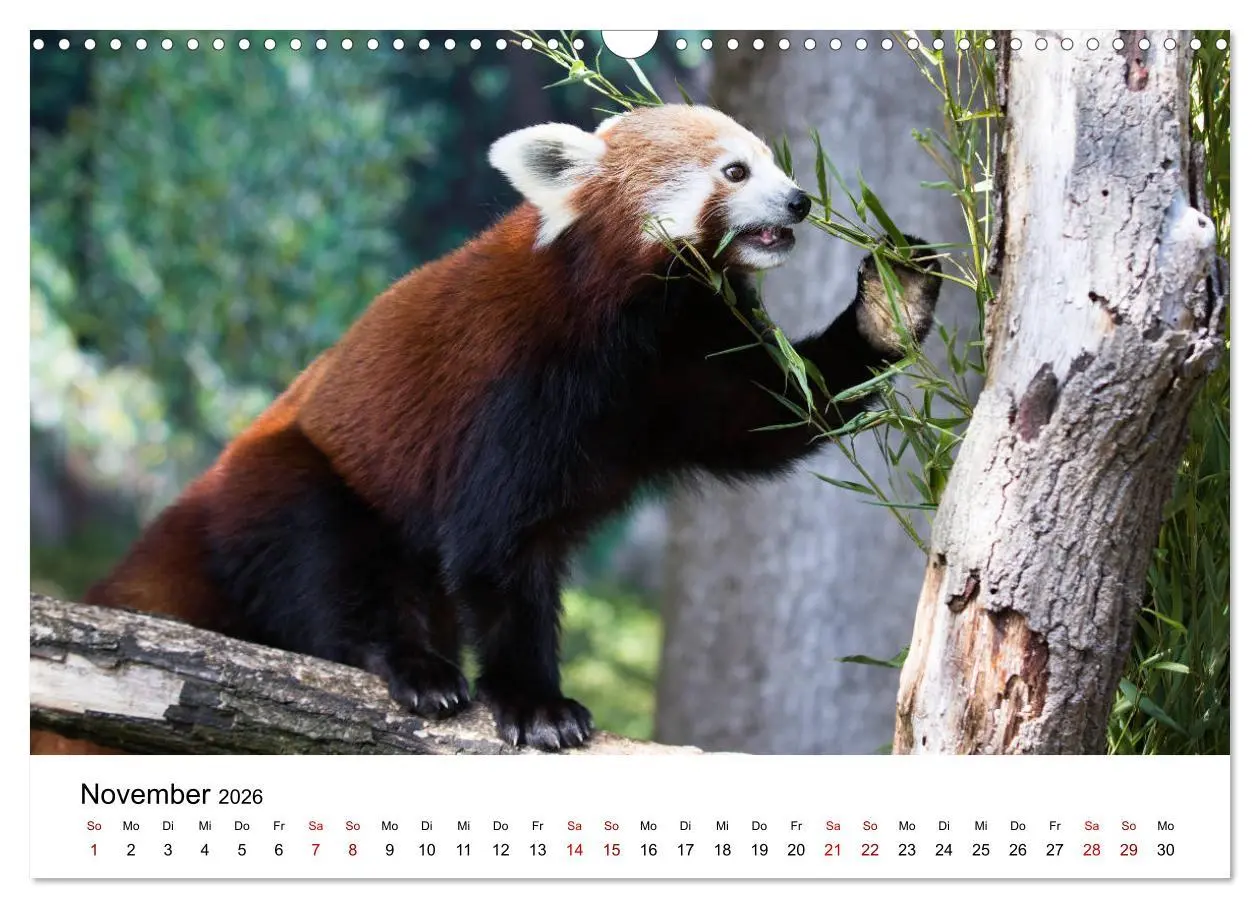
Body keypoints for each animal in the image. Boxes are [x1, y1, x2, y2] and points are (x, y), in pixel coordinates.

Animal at [34, 103, 941, 753]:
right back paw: (410, 665)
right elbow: (499, 545)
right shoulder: (520, 383)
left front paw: (891, 305)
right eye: (735, 168)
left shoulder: (683, 364)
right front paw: (537, 703)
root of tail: (200, 496)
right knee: (327, 562)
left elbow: (773, 416)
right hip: (296, 474)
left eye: (775, 159)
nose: (801, 198)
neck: (639, 319)